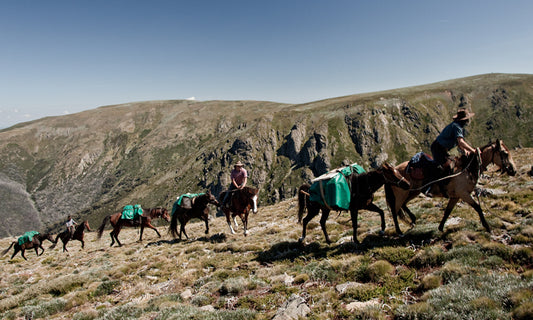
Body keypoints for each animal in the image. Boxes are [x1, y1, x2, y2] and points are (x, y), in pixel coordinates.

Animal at [384, 139, 516, 234]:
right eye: (505, 153)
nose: (513, 170)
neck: (466, 168)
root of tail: (395, 169)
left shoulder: (455, 197)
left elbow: (448, 211)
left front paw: (441, 228)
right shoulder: (463, 194)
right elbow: (477, 207)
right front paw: (487, 227)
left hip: (412, 192)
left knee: (403, 205)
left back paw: (413, 220)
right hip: (401, 194)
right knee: (395, 211)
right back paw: (400, 231)